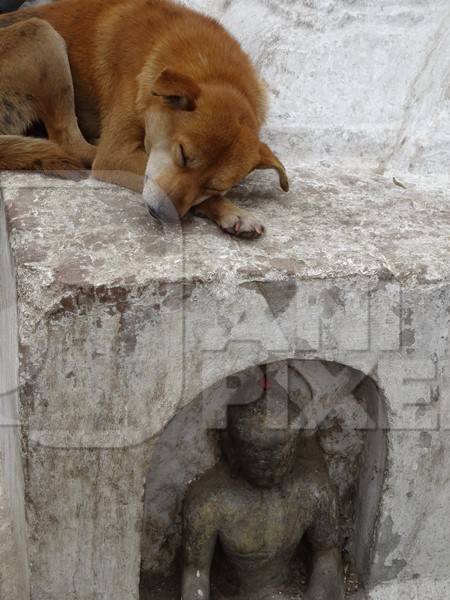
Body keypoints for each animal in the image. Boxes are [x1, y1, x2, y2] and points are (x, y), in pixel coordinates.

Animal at [0, 0, 288, 239]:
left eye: (214, 186)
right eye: (183, 155)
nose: (162, 214)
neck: (212, 67)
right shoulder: (116, 154)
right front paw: (233, 211)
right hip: (40, 33)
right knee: (71, 144)